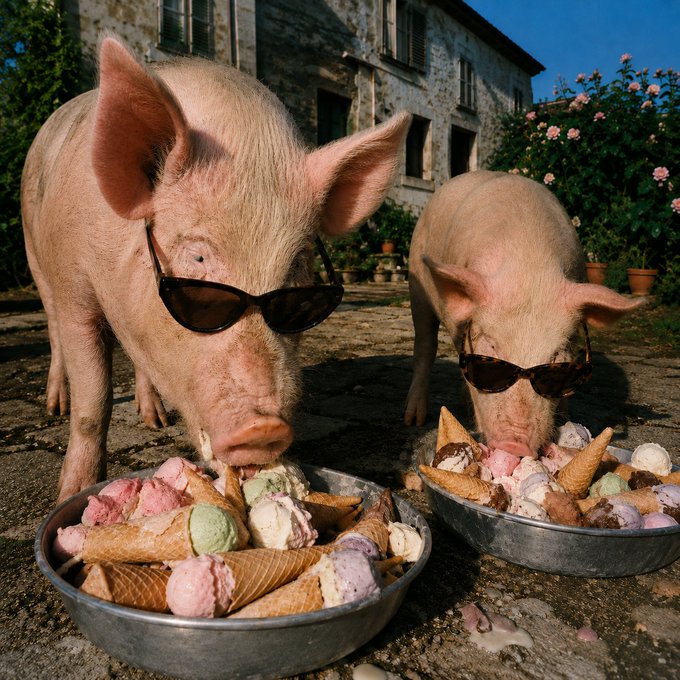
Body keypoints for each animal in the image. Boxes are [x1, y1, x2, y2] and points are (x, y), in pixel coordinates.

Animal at [21, 36, 410, 502]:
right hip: (35, 256)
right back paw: (56, 405)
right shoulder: (73, 283)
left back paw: (155, 419)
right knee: (52, 328)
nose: (265, 428)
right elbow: (92, 403)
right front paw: (71, 495)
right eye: (198, 260)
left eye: (298, 280)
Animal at [404, 170, 642, 457]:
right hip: (417, 282)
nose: (514, 444)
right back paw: (413, 419)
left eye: (556, 360)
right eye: (491, 347)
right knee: (425, 346)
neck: (528, 267)